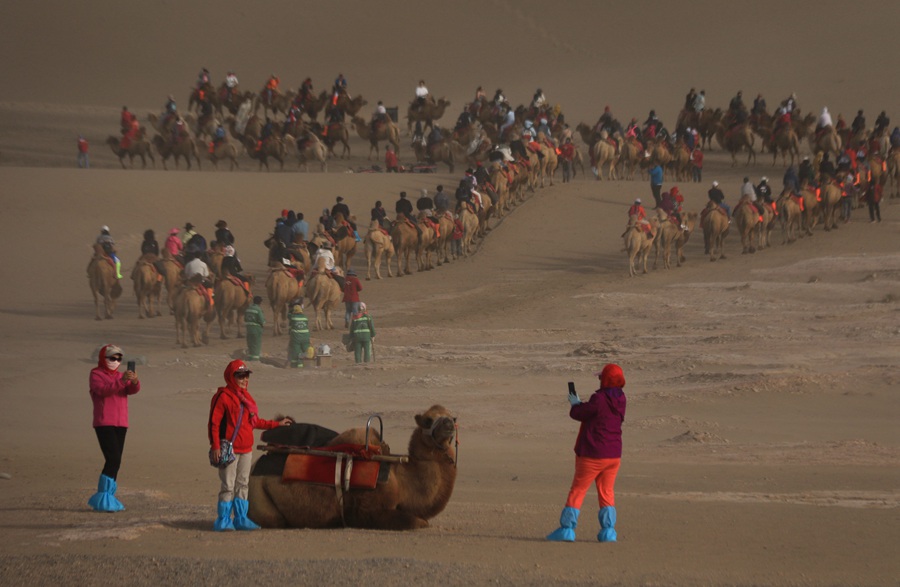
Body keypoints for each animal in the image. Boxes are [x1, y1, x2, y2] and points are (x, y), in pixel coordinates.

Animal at [246, 406, 458, 532]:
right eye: (428, 420)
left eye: (452, 417)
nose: (449, 424)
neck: (402, 480)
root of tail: (256, 465)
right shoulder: (367, 510)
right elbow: (418, 522)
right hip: (259, 494)